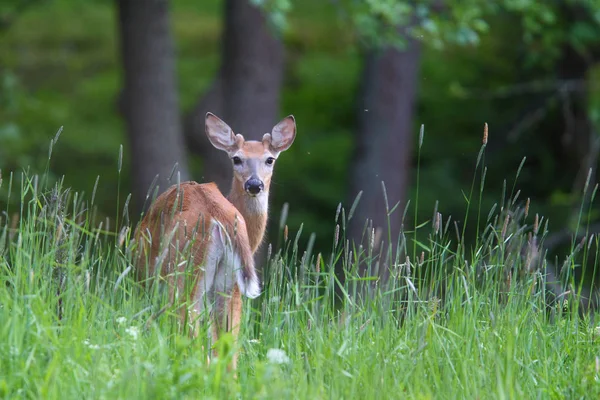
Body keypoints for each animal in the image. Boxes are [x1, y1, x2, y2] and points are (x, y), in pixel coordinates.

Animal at [135, 111, 296, 370]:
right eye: (236, 159)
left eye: (270, 159)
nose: (254, 184)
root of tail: (220, 214)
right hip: (226, 283)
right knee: (227, 353)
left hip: (184, 272)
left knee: (191, 333)